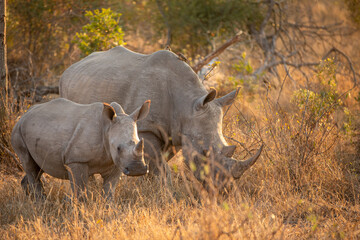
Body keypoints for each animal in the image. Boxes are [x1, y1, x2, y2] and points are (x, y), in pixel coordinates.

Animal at [10, 98, 150, 200]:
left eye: (139, 142)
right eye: (118, 148)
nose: (137, 170)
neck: (107, 128)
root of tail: (24, 115)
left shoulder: (116, 163)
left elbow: (109, 191)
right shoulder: (76, 160)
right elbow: (80, 192)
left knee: (38, 167)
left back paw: (33, 201)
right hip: (17, 132)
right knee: (29, 165)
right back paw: (40, 203)